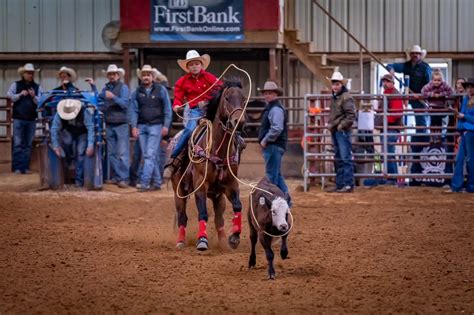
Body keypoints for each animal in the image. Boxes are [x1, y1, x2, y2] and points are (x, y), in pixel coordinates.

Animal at [170, 79, 246, 252]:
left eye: (244, 99)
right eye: (227, 98)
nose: (238, 122)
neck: (218, 149)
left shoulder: (231, 184)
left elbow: (238, 206)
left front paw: (234, 238)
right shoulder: (200, 185)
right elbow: (203, 213)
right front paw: (202, 241)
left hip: (218, 196)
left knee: (219, 218)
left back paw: (223, 242)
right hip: (178, 190)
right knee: (182, 216)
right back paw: (180, 242)